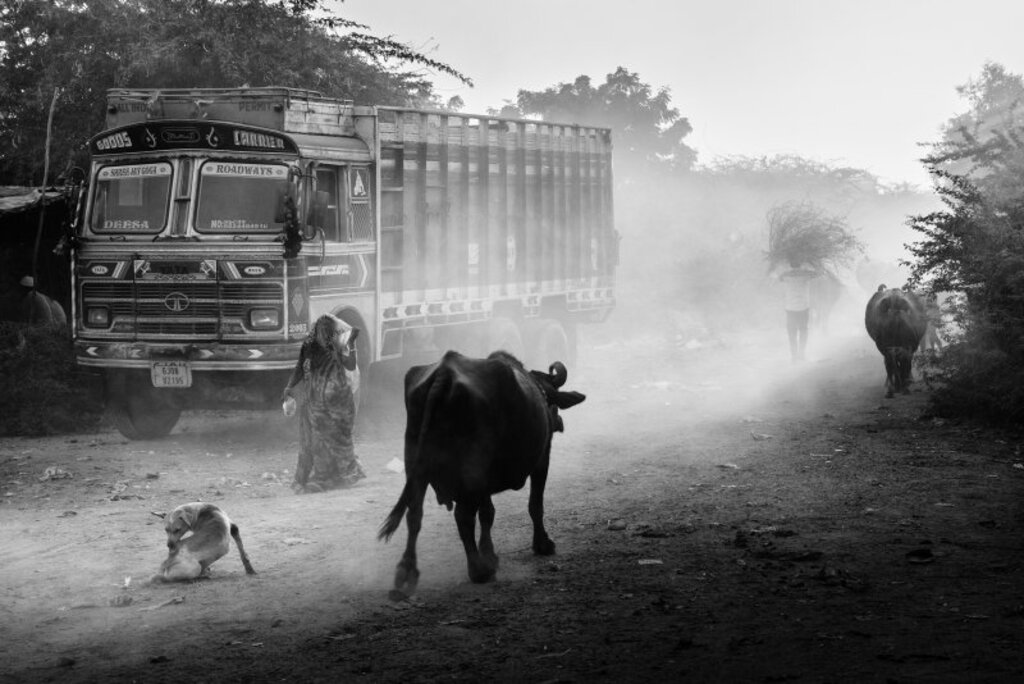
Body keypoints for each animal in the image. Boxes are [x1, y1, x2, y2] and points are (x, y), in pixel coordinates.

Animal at [378, 352, 589, 597]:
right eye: (553, 399)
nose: (558, 423)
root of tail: (444, 375)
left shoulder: (484, 482)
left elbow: (487, 512)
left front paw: (490, 554)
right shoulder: (542, 458)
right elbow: (535, 505)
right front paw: (542, 544)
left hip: (417, 465)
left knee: (415, 514)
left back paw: (407, 571)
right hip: (472, 465)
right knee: (462, 516)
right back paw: (478, 570)